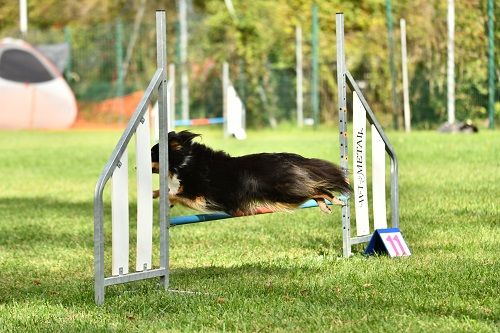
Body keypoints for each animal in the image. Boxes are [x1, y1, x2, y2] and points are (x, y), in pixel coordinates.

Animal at [150, 130, 350, 215]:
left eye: (151, 153)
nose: (140, 165)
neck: (184, 161)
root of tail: (288, 157)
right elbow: (168, 190)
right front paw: (153, 193)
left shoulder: (199, 198)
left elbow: (174, 194)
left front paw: (164, 198)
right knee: (313, 190)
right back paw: (325, 206)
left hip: (283, 192)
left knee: (317, 190)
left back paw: (336, 201)